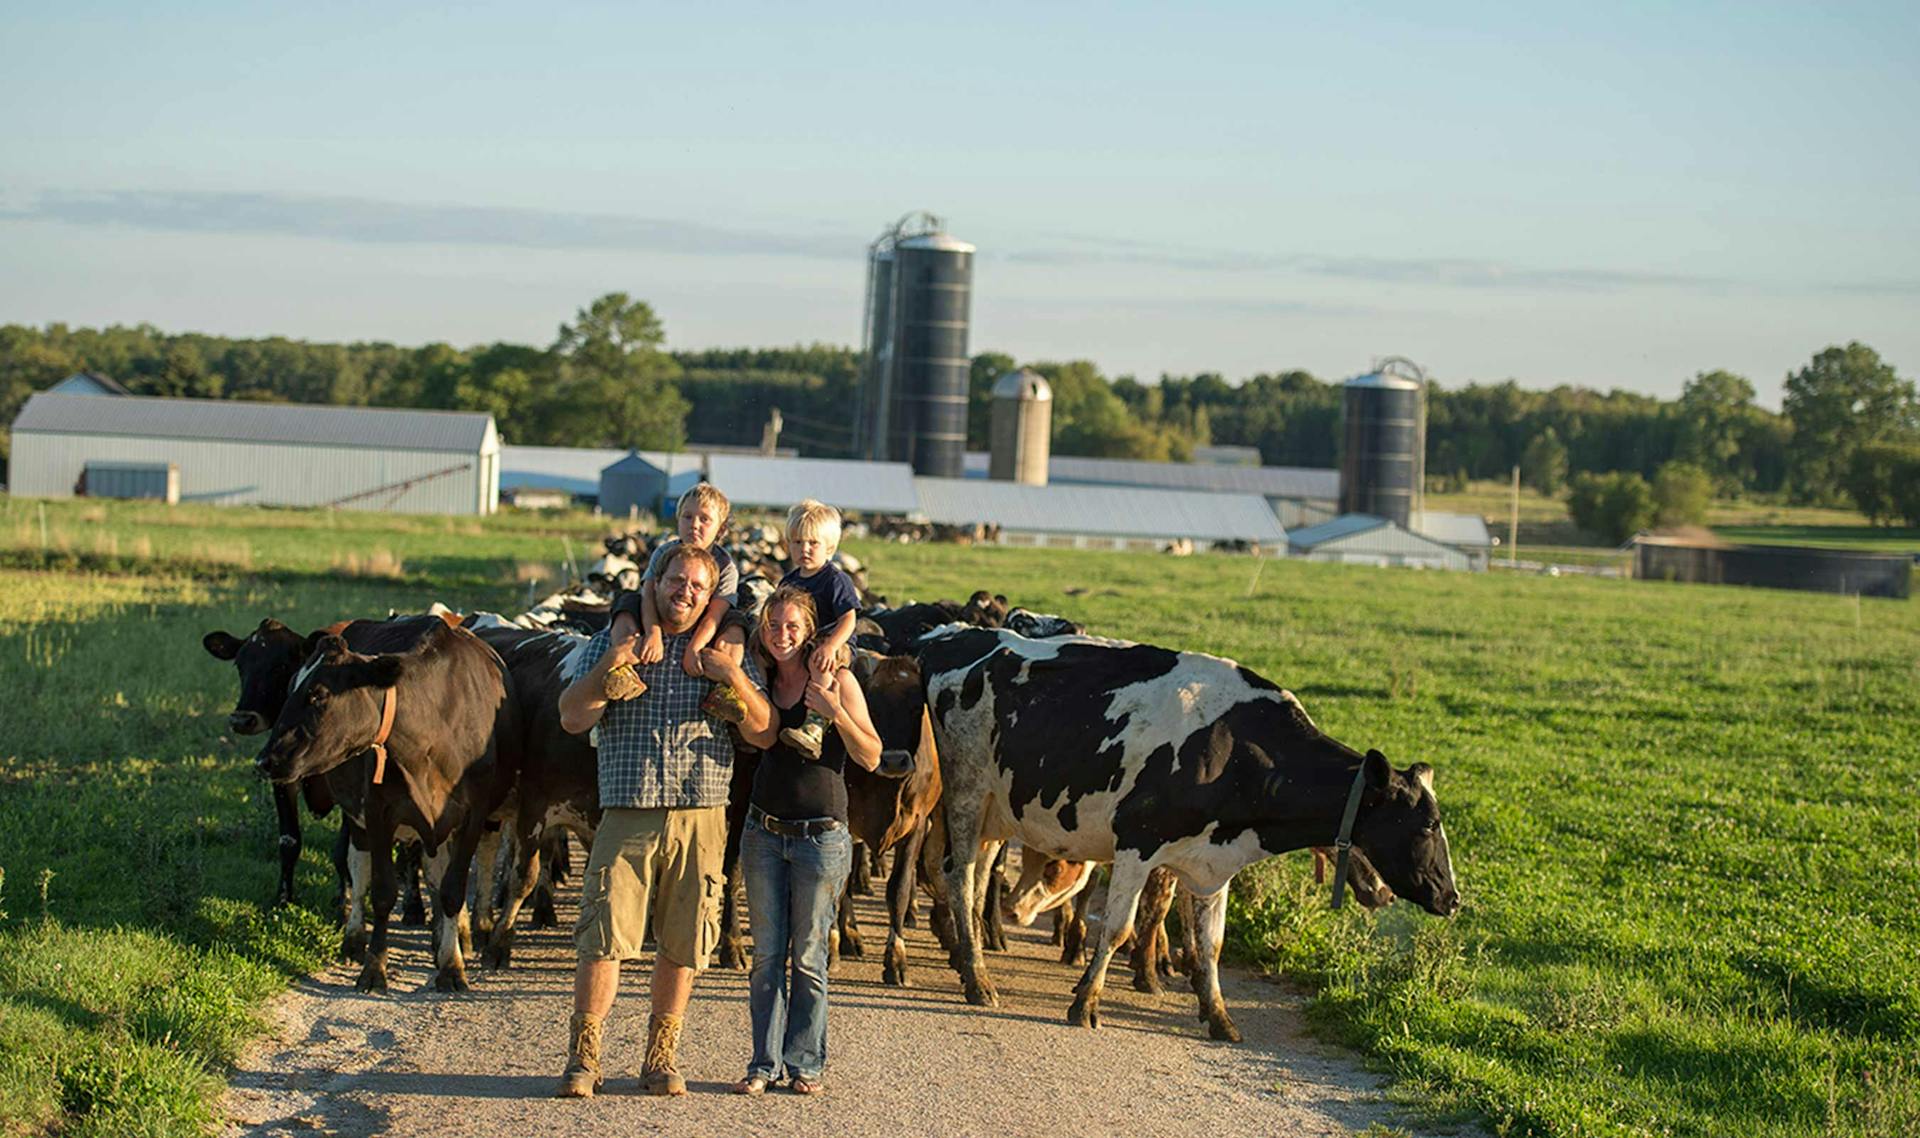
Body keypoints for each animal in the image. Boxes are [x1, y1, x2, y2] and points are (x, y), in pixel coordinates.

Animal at [259, 617, 526, 990]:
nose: (266, 760)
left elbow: (451, 890)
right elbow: (382, 891)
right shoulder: (376, 812)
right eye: (291, 688)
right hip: (357, 820)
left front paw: (451, 965)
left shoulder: (473, 815)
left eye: (318, 694)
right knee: (358, 866)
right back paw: (354, 938)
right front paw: (374, 967)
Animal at [913, 625, 1451, 1043]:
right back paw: (977, 980)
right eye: (1427, 824)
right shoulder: (1137, 843)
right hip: (966, 795)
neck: (1231, 751)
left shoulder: (1214, 865)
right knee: (959, 878)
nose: (1452, 898)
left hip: (997, 815)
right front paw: (1086, 1003)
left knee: (977, 882)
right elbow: (1119, 927)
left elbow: (1210, 945)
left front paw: (1219, 1017)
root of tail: (954, 636)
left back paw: (971, 960)